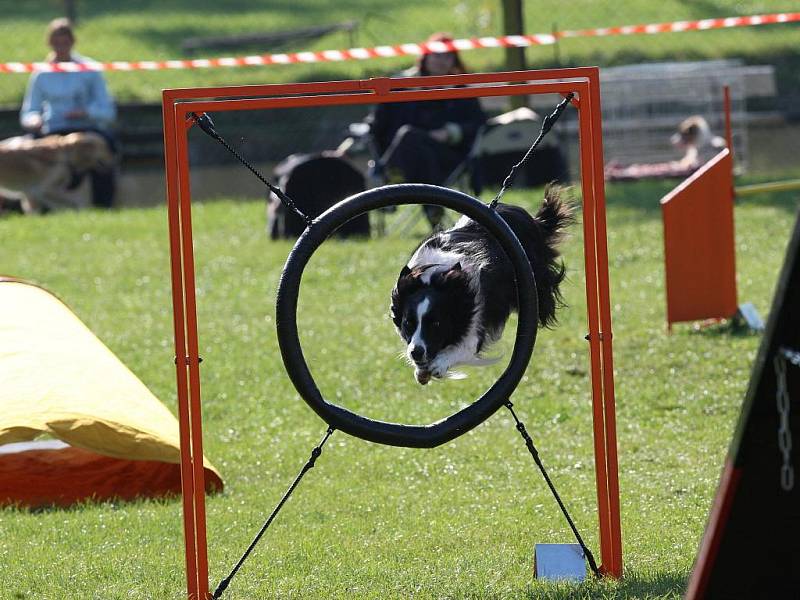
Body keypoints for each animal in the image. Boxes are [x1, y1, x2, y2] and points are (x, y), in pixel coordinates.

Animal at [390, 186, 572, 384]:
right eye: (408, 323)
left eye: (437, 324)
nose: (416, 352)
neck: (435, 277)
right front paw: (421, 371)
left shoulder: (476, 315)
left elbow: (466, 346)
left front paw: (440, 364)